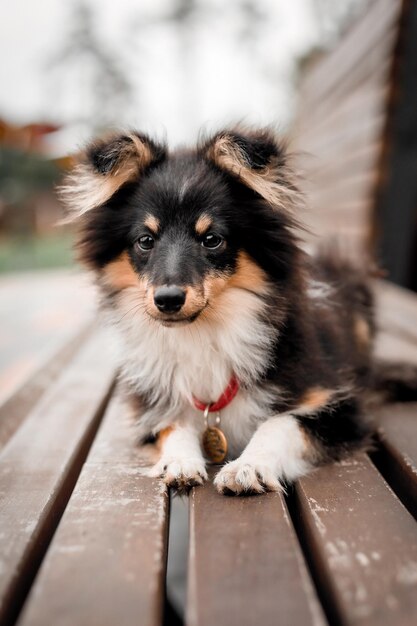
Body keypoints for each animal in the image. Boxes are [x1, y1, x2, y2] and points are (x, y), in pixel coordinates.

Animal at [60, 127, 414, 494]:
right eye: (145, 240)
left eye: (212, 239)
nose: (168, 300)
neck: (202, 332)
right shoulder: (150, 407)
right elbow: (174, 423)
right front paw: (181, 460)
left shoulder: (339, 408)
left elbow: (281, 422)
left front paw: (249, 466)